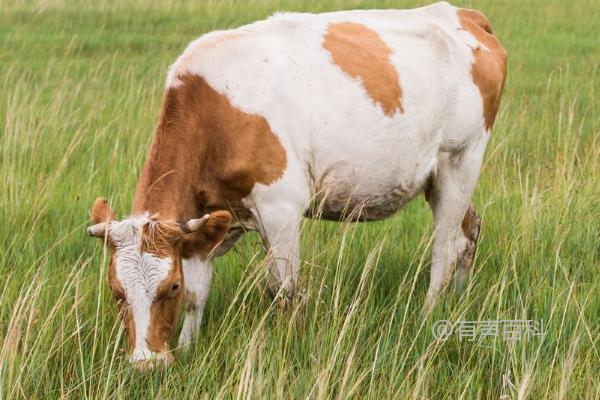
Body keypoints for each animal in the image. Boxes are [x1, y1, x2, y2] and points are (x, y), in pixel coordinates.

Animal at [85, 0, 506, 368]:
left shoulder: (280, 209)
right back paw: (459, 300)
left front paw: (288, 344)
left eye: (167, 287)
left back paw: (428, 313)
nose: (145, 365)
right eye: (116, 291)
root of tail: (462, 13)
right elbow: (197, 295)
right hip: (440, 176)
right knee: (470, 229)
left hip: (461, 159)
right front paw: (188, 350)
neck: (212, 116)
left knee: (447, 246)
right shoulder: (204, 224)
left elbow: (283, 290)